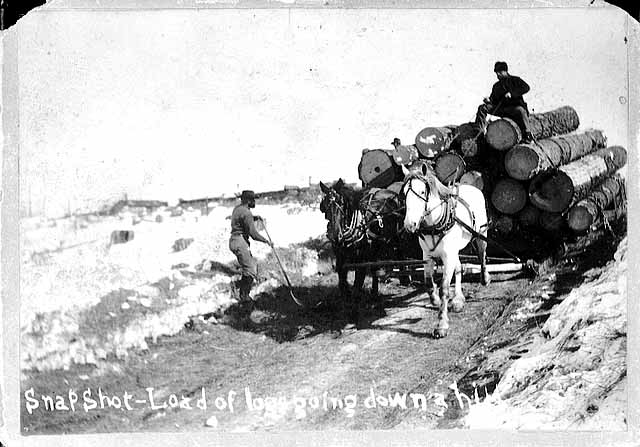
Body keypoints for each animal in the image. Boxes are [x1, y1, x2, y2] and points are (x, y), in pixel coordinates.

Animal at [318, 178, 408, 322]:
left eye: (341, 204)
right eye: (324, 206)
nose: (334, 236)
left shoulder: (361, 262)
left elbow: (357, 286)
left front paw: (354, 314)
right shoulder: (341, 261)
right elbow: (343, 285)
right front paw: (347, 304)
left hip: (397, 236)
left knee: (399, 252)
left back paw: (404, 278)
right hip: (375, 248)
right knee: (374, 269)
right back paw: (374, 295)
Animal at [402, 163, 492, 338]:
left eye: (422, 192)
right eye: (404, 194)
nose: (410, 224)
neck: (434, 224)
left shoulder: (448, 255)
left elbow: (444, 288)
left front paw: (442, 324)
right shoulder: (427, 256)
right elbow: (428, 283)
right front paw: (436, 300)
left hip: (481, 233)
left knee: (482, 255)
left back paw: (484, 278)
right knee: (458, 268)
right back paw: (458, 299)